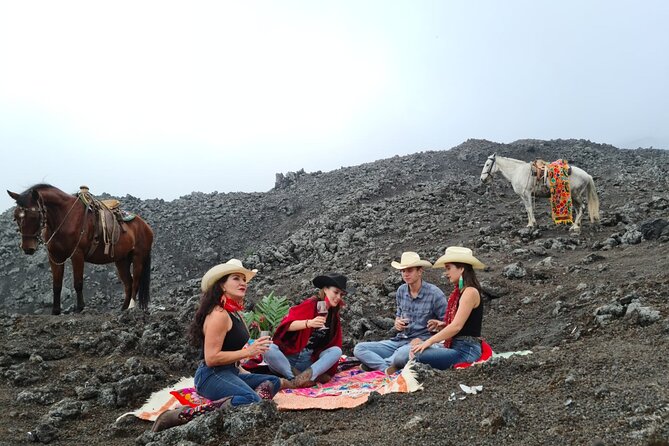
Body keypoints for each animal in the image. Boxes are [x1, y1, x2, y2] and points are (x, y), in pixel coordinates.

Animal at [6, 183, 154, 316]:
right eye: (16, 217)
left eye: (33, 216)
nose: (28, 248)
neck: (64, 217)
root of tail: (146, 226)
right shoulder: (54, 257)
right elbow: (56, 285)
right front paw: (55, 311)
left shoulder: (77, 254)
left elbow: (78, 283)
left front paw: (80, 307)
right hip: (122, 260)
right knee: (128, 283)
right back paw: (123, 309)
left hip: (138, 257)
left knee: (135, 282)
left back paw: (131, 307)